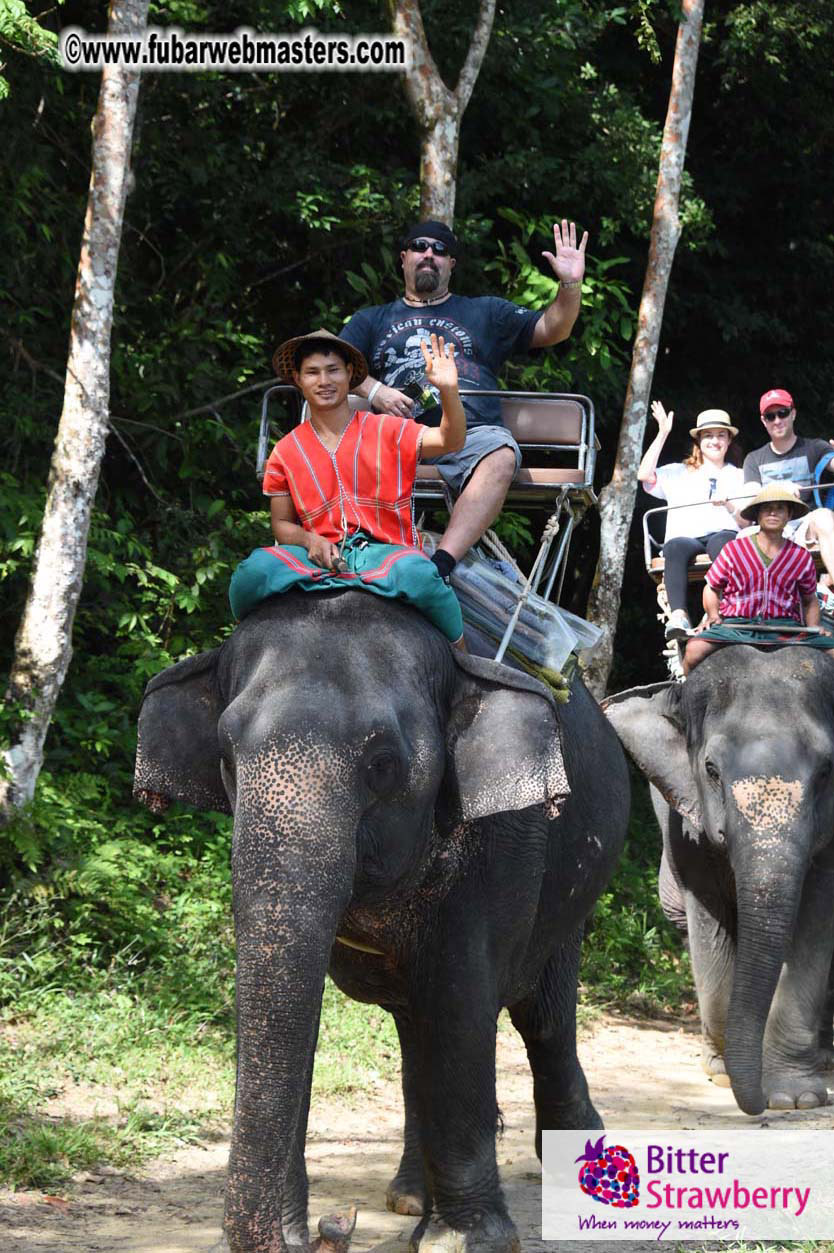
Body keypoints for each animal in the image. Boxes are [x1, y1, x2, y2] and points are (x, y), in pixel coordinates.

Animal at [134, 589, 629, 1253]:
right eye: (227, 760)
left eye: (383, 765)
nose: (331, 1227)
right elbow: (299, 1014)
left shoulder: (504, 841)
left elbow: (461, 1002)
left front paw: (468, 1241)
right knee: (418, 1030)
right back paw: (410, 1198)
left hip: (573, 886)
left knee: (540, 1015)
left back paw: (578, 1168)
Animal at [603, 645, 834, 1117]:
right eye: (710, 769)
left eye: (826, 772)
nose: (758, 1105)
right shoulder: (685, 827)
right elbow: (711, 924)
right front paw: (725, 1074)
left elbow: (815, 920)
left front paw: (794, 1098)